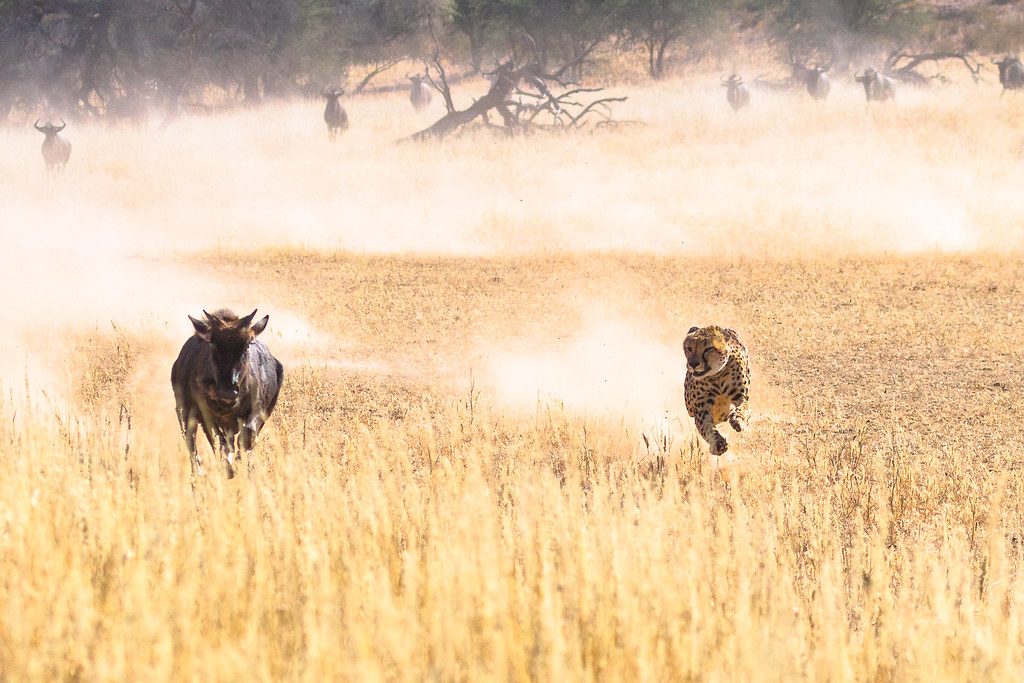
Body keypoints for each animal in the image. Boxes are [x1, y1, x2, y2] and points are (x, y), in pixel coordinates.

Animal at [683, 325, 750, 456]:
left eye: (708, 349)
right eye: (689, 348)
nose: (693, 364)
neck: (717, 375)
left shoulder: (742, 396)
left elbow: (743, 408)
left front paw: (738, 419)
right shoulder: (701, 408)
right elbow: (706, 426)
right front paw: (718, 443)